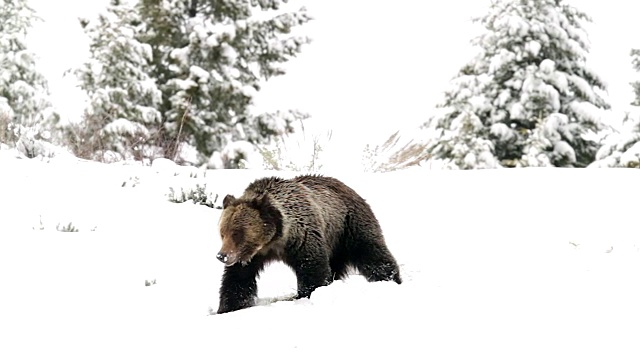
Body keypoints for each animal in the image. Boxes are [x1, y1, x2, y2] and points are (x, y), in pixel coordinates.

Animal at [218, 174, 402, 312]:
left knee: (371, 252)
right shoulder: (251, 256)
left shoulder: (302, 238)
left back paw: (390, 279)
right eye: (222, 233)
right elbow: (237, 280)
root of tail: (348, 187)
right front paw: (229, 307)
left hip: (349, 226)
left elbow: (313, 270)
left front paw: (307, 294)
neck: (275, 239)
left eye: (237, 233)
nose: (221, 256)